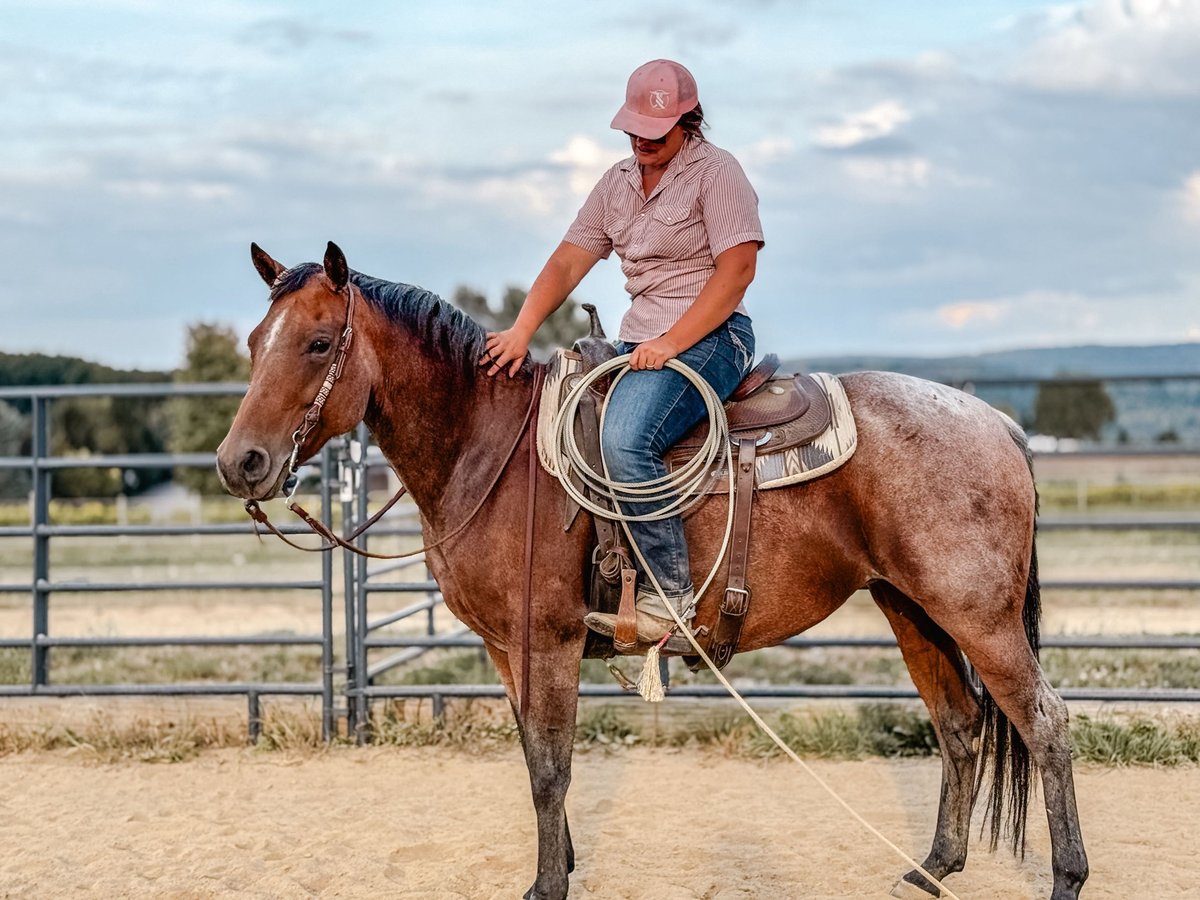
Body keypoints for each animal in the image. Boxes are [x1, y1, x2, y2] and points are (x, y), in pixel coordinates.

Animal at [216, 242, 1088, 900]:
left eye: (318, 343)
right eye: (256, 342)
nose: (239, 463)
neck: (488, 450)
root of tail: (997, 422)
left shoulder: (549, 641)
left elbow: (551, 767)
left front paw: (547, 887)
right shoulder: (505, 649)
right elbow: (533, 756)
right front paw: (562, 865)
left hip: (977, 615)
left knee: (1043, 720)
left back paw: (1066, 878)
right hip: (911, 607)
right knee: (960, 723)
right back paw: (933, 868)